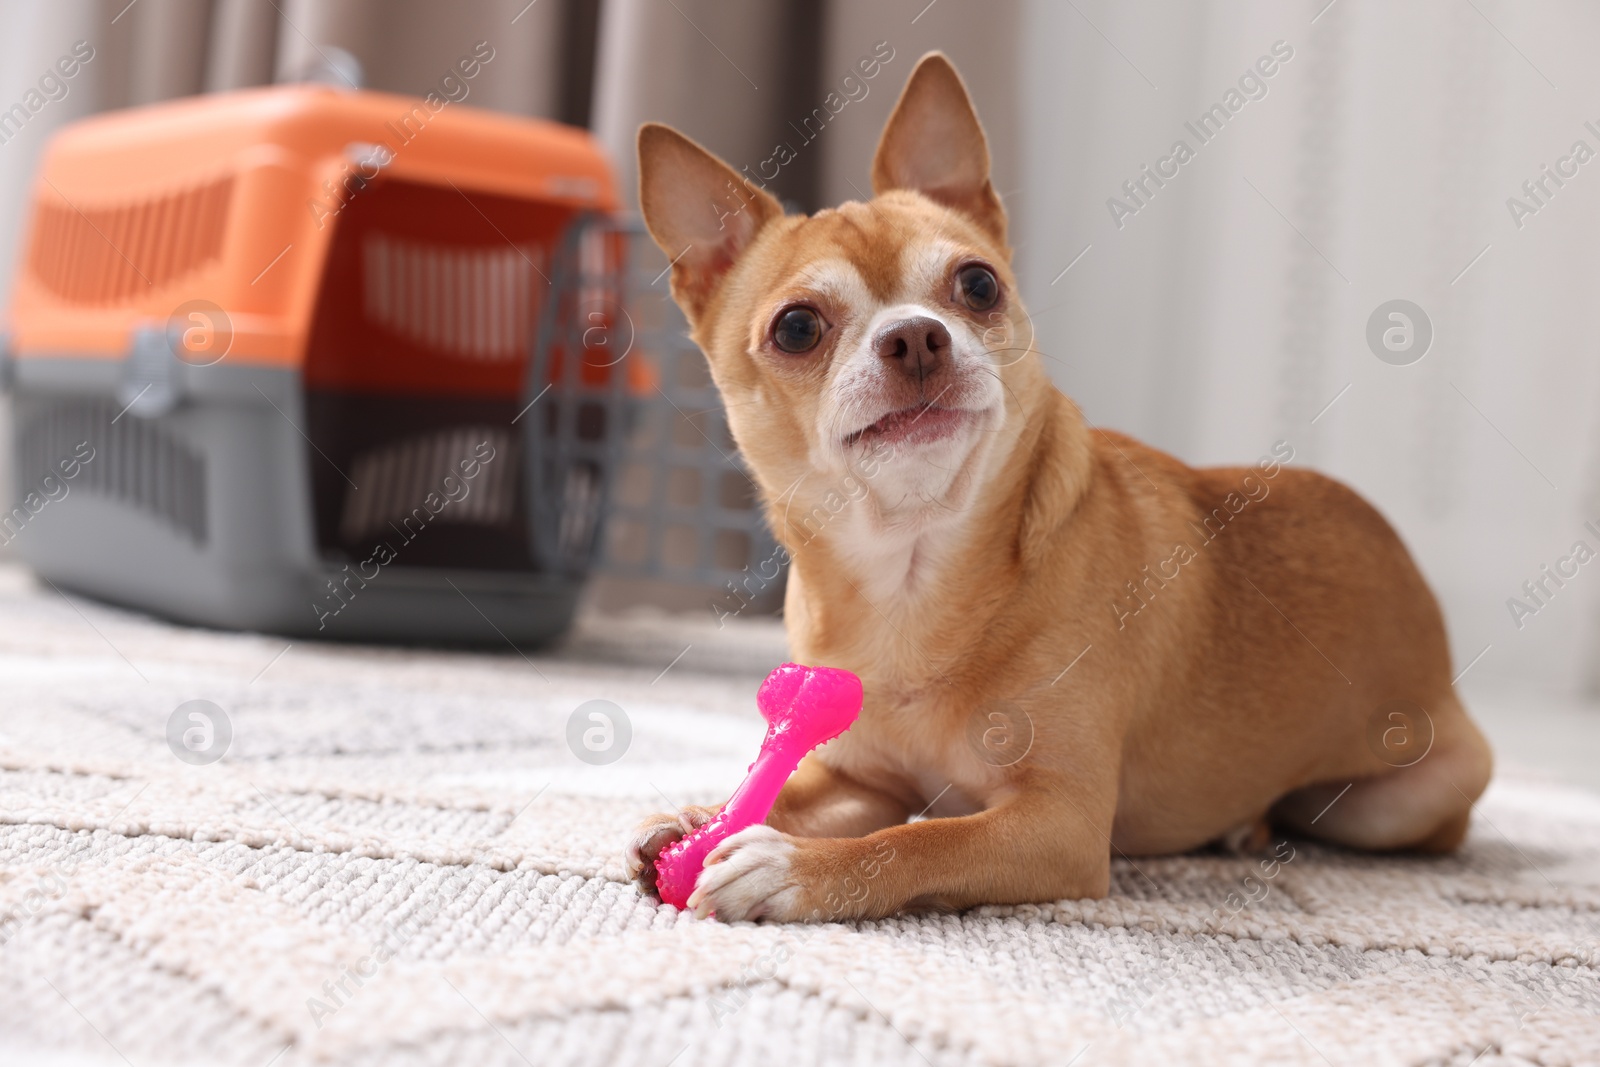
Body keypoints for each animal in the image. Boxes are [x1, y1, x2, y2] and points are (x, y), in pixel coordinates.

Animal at [620, 49, 1484, 921]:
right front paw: (690, 822)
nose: (916, 336)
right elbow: (801, 794)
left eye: (978, 285)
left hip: (1407, 799)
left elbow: (915, 842)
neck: (911, 573)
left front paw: (791, 865)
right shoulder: (862, 781)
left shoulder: (1057, 824)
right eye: (797, 327)